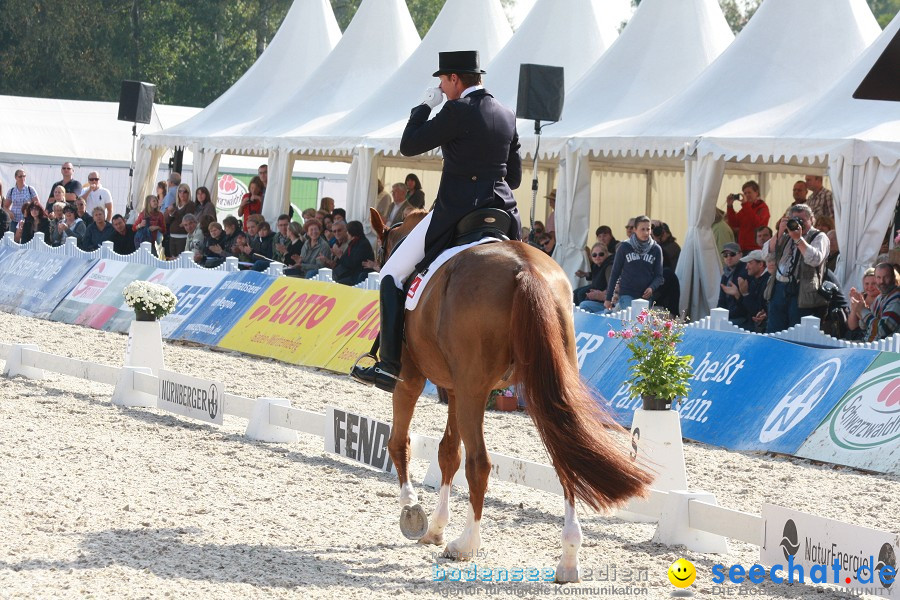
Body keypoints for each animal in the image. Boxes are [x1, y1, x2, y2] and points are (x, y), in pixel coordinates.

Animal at [370, 209, 652, 584]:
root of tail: (525, 269)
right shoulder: (456, 388)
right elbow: (448, 453)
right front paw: (436, 527)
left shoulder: (413, 379)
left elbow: (400, 442)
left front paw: (412, 513)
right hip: (538, 386)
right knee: (566, 458)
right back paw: (568, 559)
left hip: (473, 389)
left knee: (480, 463)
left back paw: (466, 545)